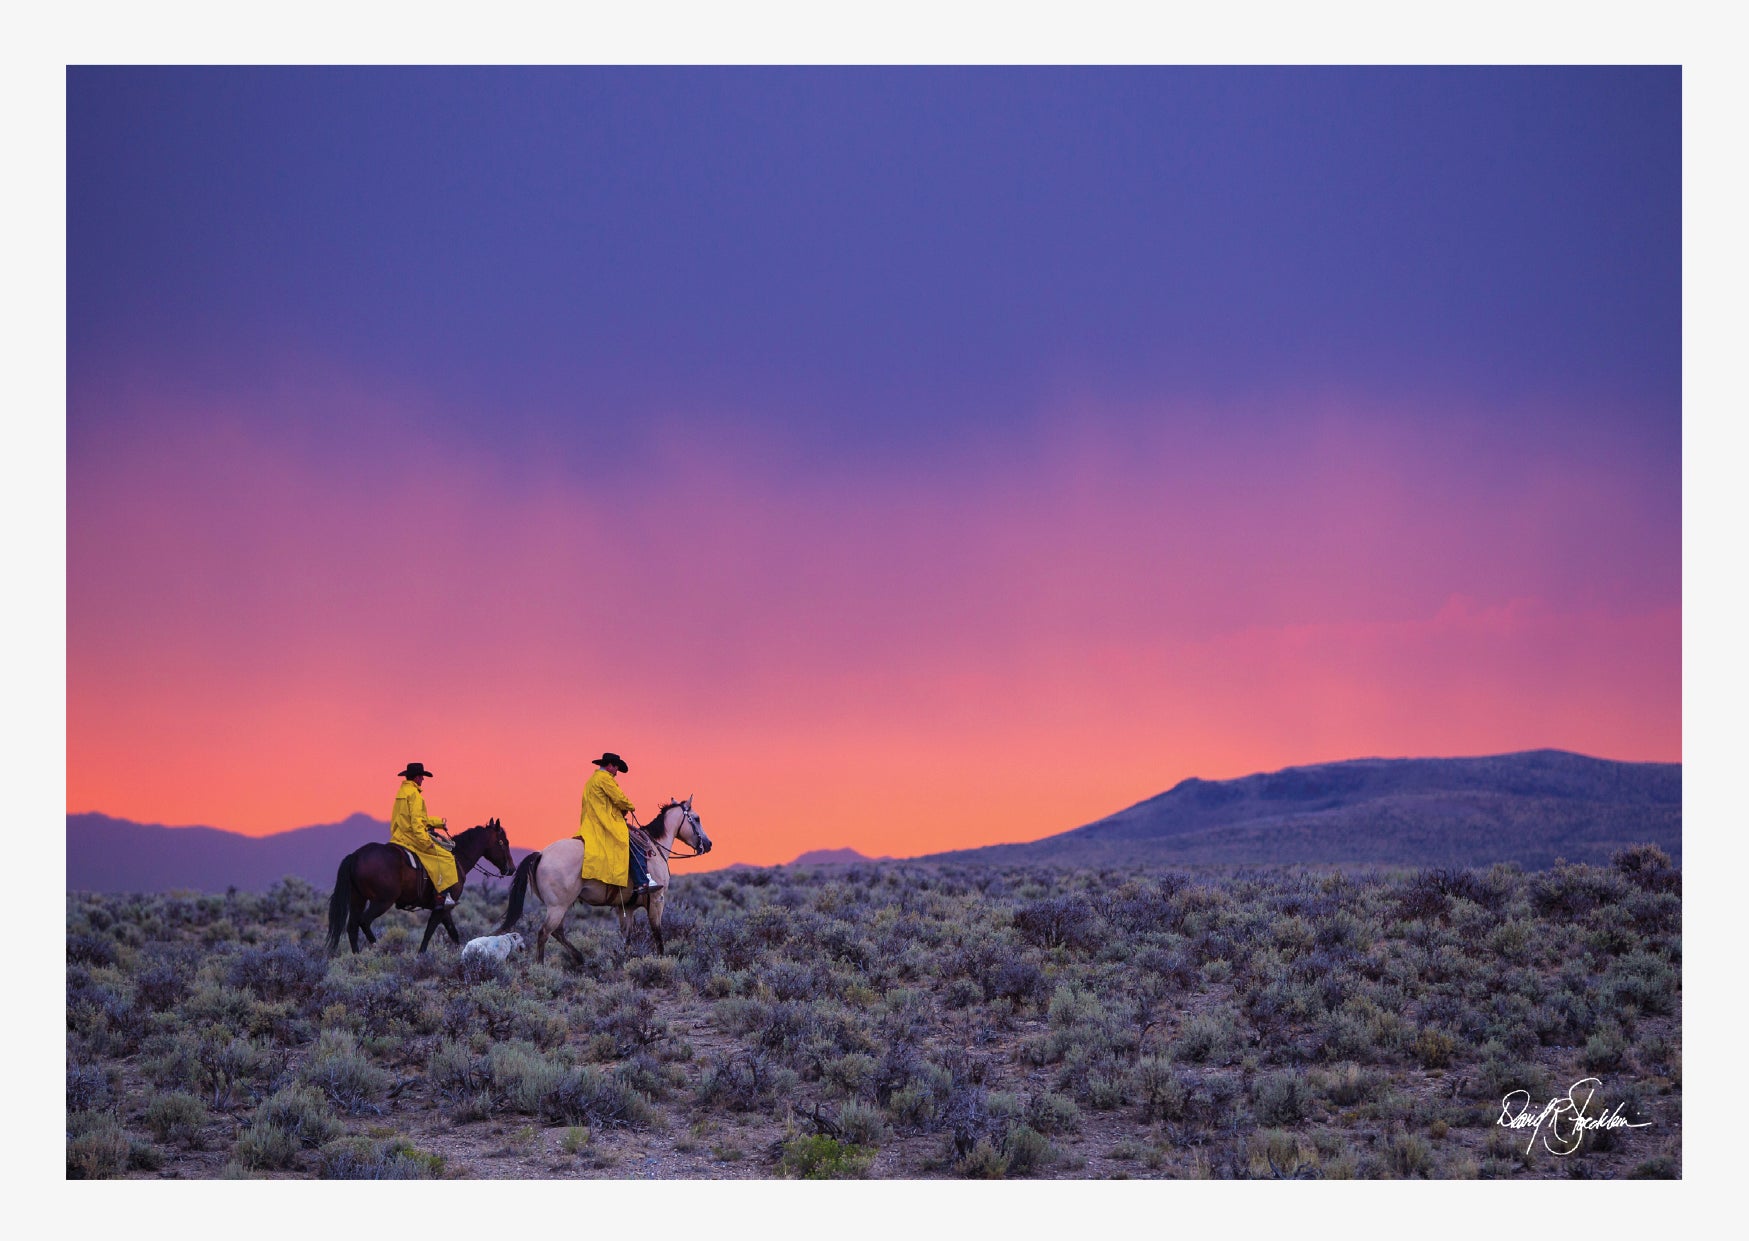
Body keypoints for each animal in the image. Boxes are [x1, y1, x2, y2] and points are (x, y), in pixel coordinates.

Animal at [325, 821, 510, 957]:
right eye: (502, 842)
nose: (511, 868)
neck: (457, 858)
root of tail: (356, 856)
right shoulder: (441, 908)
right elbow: (430, 931)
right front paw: (421, 955)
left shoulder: (445, 908)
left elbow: (453, 933)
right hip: (382, 901)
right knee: (364, 921)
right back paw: (378, 949)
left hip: (358, 899)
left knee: (352, 927)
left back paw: (357, 957)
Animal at [493, 800, 710, 964]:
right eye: (697, 818)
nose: (708, 844)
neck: (654, 849)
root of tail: (542, 854)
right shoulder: (657, 898)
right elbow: (657, 931)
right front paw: (662, 959)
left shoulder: (626, 908)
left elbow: (627, 937)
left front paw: (624, 959)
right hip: (558, 906)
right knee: (544, 933)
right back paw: (541, 966)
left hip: (560, 906)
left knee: (557, 932)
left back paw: (579, 958)